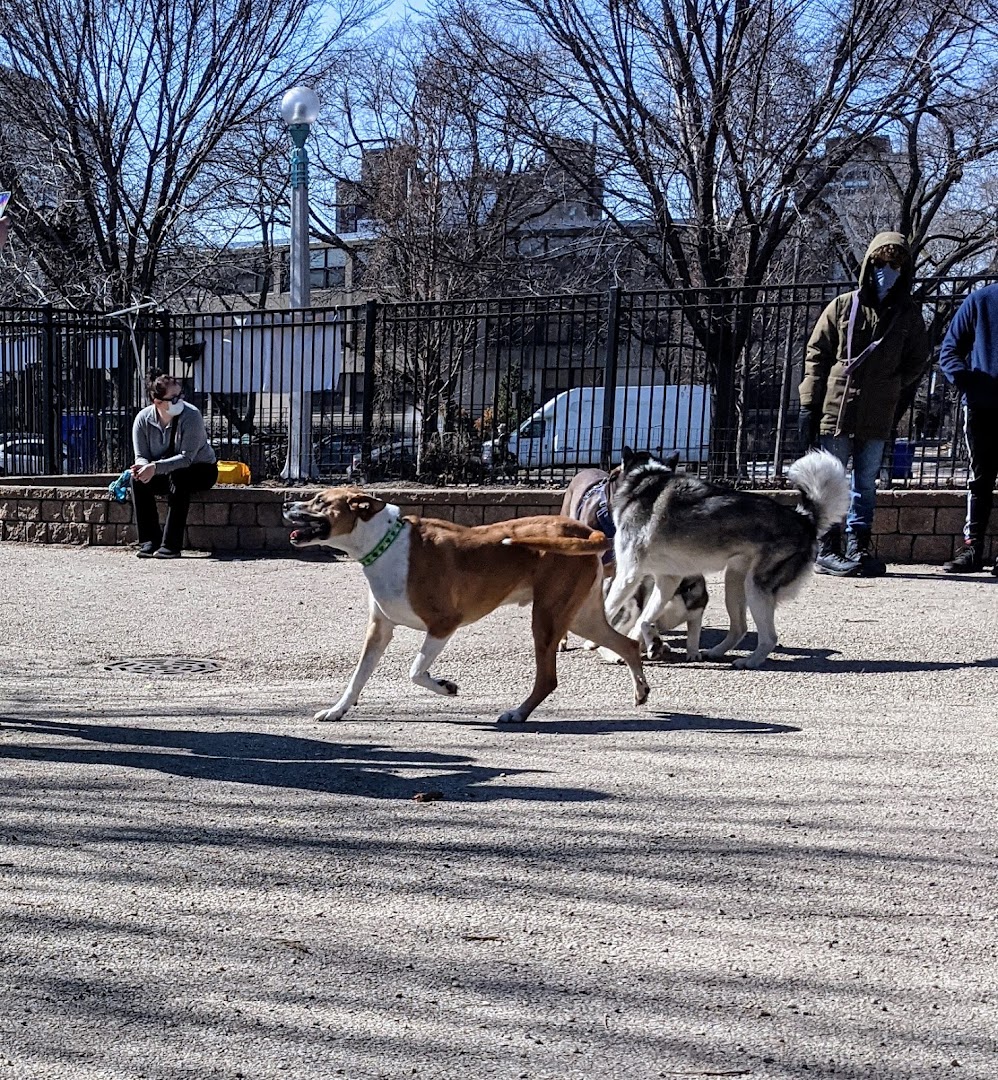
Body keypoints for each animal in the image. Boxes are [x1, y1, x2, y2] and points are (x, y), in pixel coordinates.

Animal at [285, 490, 652, 725]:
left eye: (320, 501)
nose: (288, 502)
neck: (384, 543)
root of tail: (587, 531)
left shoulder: (443, 624)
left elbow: (415, 671)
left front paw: (445, 687)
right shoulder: (380, 629)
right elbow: (358, 677)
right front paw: (337, 710)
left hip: (547, 618)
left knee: (548, 679)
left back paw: (517, 713)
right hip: (579, 617)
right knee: (627, 644)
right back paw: (640, 691)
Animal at [609, 444, 851, 665]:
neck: (645, 478)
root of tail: (805, 519)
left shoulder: (629, 574)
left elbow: (610, 609)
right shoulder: (668, 580)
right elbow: (643, 621)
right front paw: (642, 645)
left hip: (755, 589)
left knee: (769, 638)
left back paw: (750, 662)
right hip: (734, 582)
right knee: (739, 628)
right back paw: (716, 652)